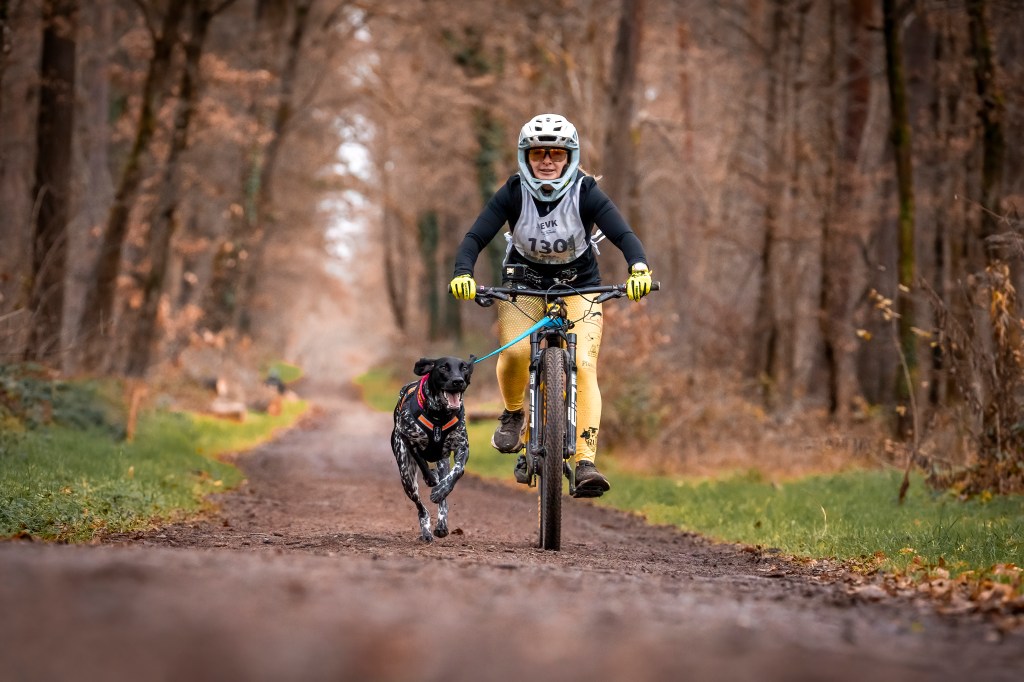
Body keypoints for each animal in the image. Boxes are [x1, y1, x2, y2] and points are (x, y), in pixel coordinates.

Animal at [391, 356, 474, 542]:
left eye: (464, 368)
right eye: (443, 367)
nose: (458, 381)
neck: (439, 416)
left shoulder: (462, 446)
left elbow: (457, 472)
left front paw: (440, 491)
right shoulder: (408, 439)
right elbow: (422, 464)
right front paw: (431, 479)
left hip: (443, 463)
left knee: (444, 499)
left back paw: (441, 523)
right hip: (407, 477)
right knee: (421, 508)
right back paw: (426, 531)